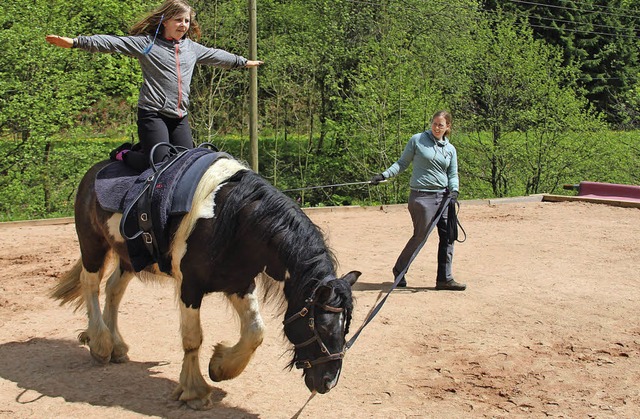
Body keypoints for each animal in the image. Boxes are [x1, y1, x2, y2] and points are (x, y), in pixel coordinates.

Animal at [51, 154, 360, 410]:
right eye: (321, 326)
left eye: (346, 326)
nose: (328, 382)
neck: (231, 220)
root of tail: (95, 171)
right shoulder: (190, 287)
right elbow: (192, 339)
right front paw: (194, 391)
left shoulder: (238, 283)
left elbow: (255, 331)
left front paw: (221, 367)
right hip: (92, 246)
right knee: (91, 285)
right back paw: (100, 344)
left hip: (129, 258)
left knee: (113, 290)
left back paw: (116, 346)